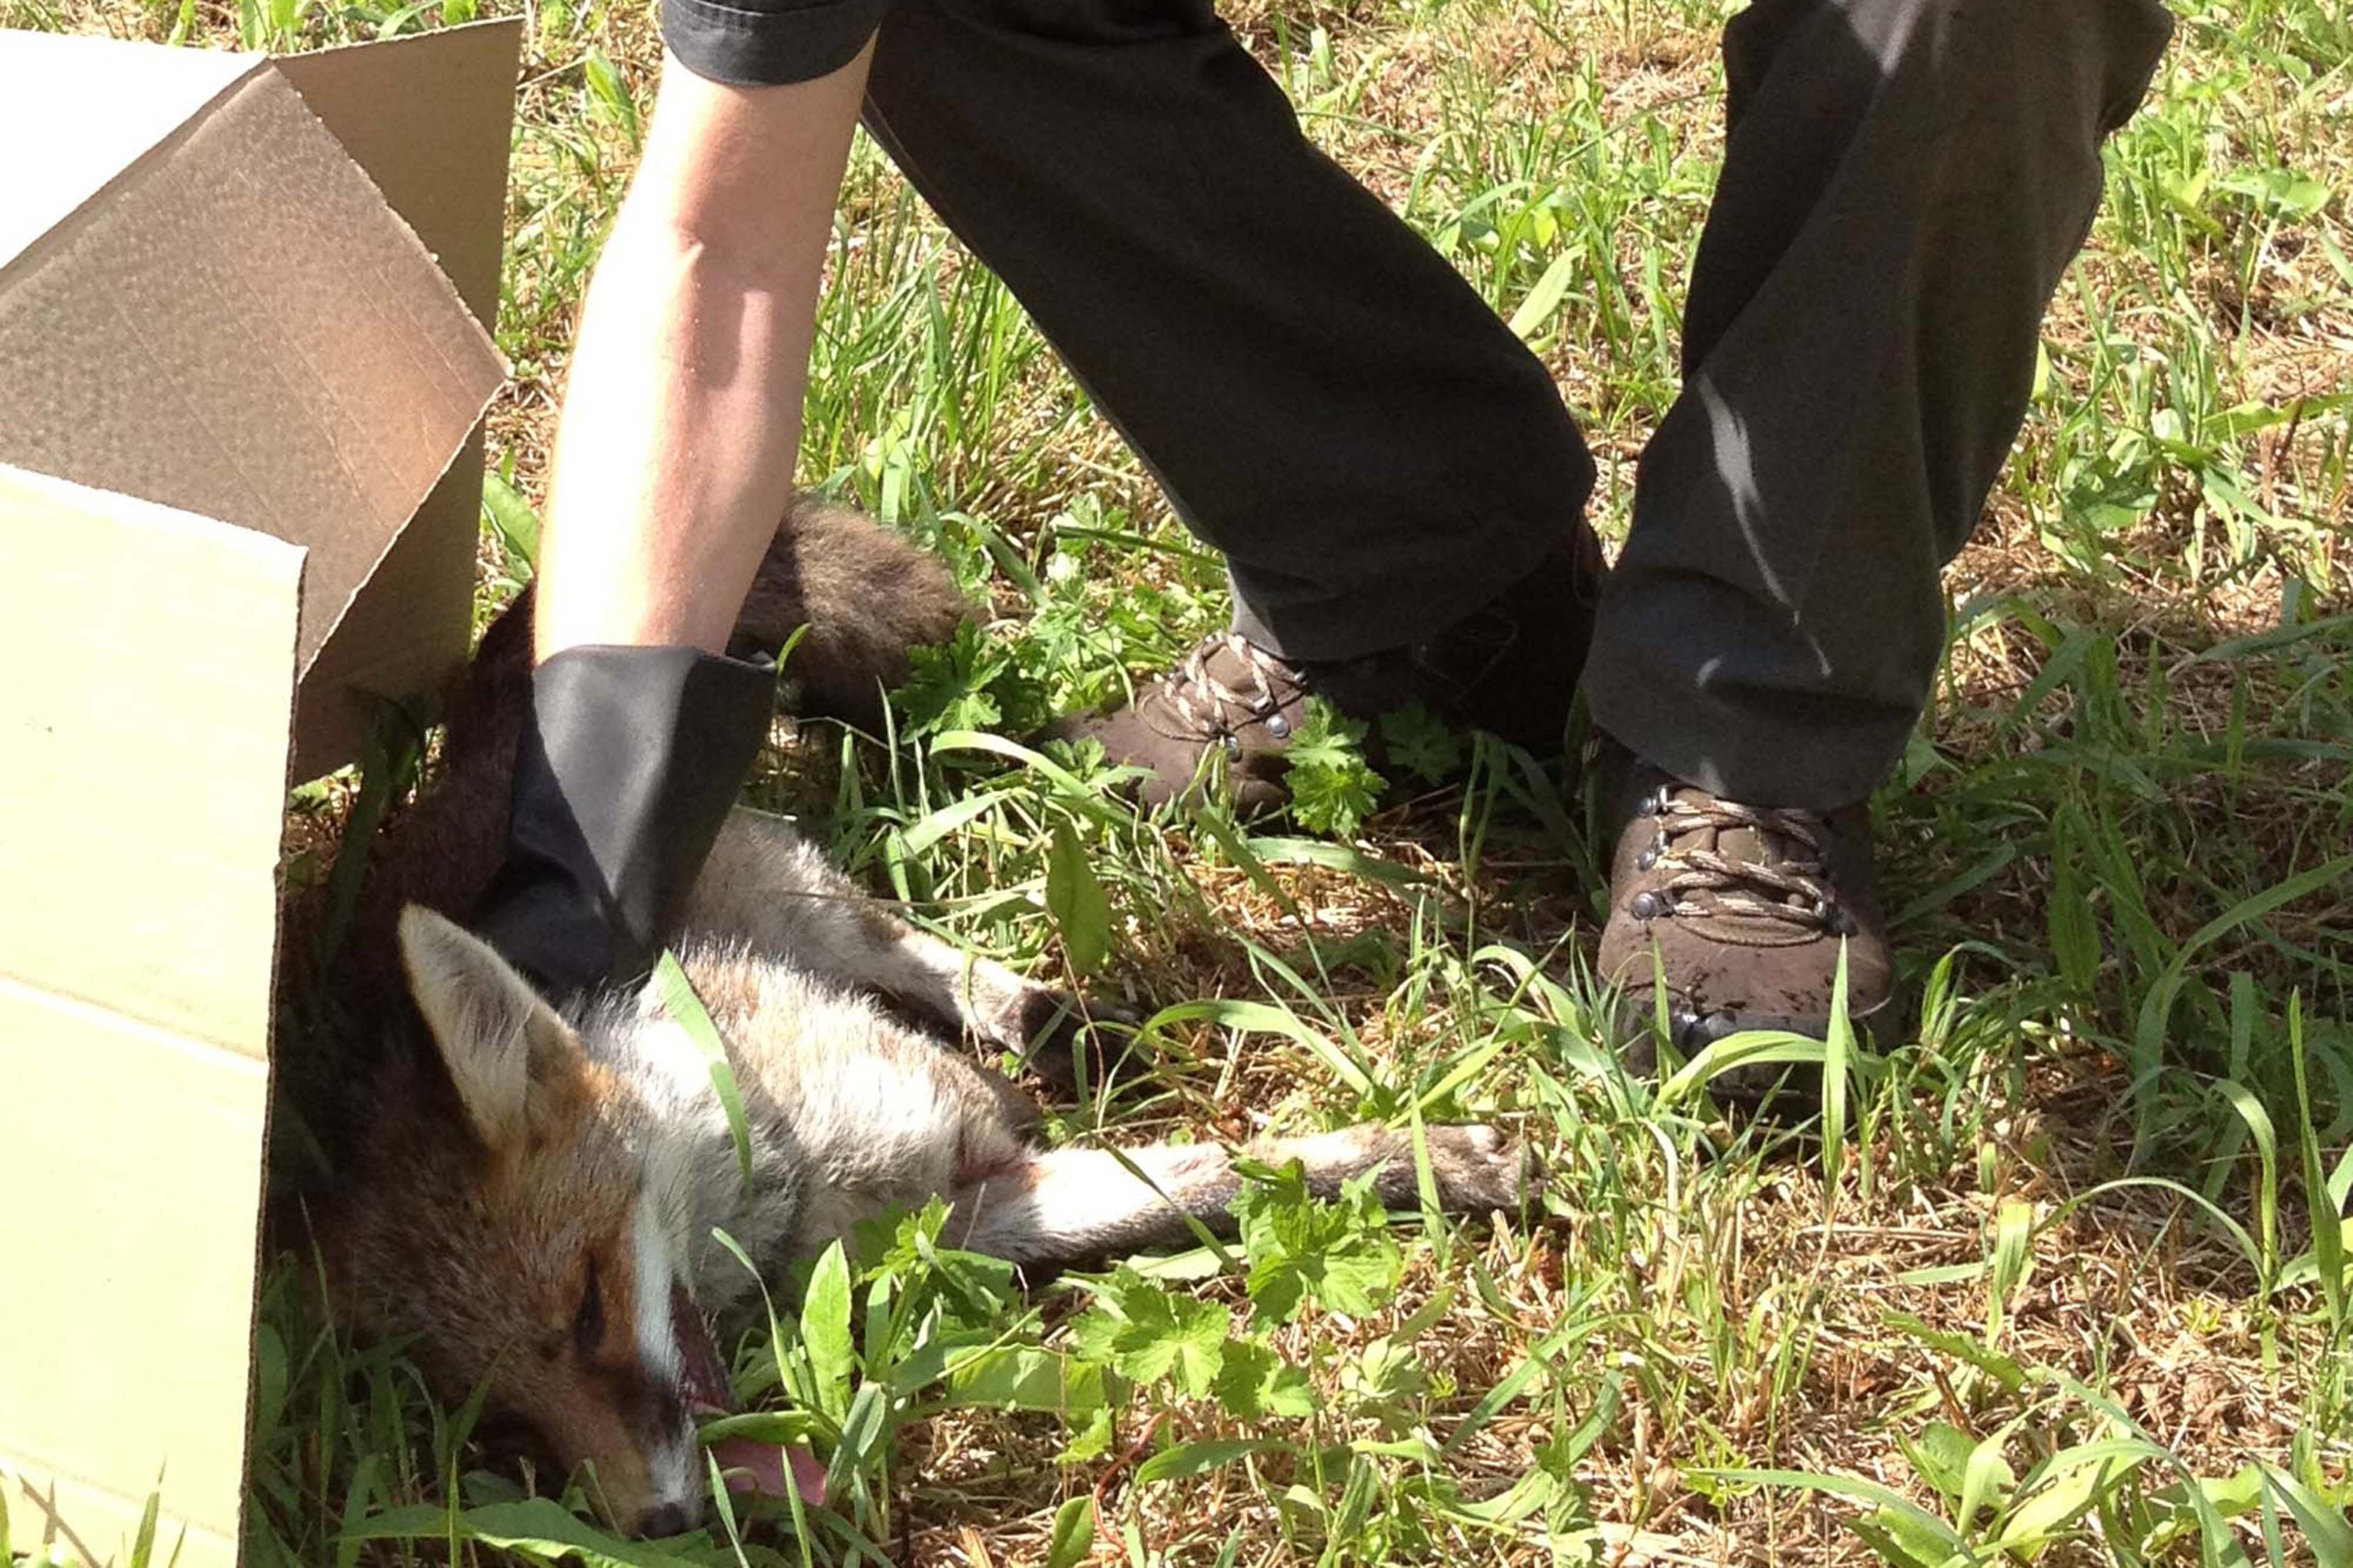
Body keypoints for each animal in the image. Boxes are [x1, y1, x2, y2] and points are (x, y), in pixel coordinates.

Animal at [299, 496, 1525, 1525]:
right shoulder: (978, 1211)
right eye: (509, 1427)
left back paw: (1054, 1022)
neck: (789, 1182)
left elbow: (1238, 1173)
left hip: (800, 898)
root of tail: (487, 735)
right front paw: (1428, 1167)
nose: (663, 1524)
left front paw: (1439, 1164)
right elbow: (1189, 1194)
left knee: (926, 956)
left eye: (591, 1313)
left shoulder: (968, 1154)